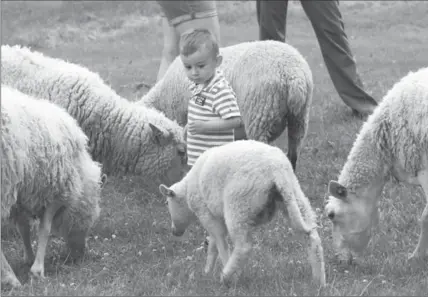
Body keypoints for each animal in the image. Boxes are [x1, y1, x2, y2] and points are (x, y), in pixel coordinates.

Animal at [0, 84, 103, 286]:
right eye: (90, 218)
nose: (81, 255)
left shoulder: (23, 192)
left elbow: (23, 228)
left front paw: (29, 258)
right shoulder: (57, 191)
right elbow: (45, 229)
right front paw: (37, 270)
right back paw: (10, 278)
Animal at [160, 140, 324, 286]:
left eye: (167, 203)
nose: (174, 231)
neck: (187, 191)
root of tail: (276, 169)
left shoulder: (206, 213)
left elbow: (220, 244)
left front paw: (223, 271)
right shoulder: (216, 217)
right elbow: (213, 246)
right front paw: (207, 271)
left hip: (238, 204)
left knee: (243, 246)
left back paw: (226, 277)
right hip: (293, 195)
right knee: (312, 238)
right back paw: (319, 281)